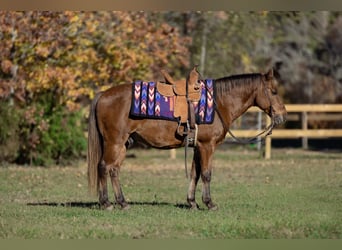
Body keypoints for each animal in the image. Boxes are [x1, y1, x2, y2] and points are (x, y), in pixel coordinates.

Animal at [87, 67, 288, 210]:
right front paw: (209, 203)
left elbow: (195, 173)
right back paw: (106, 203)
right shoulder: (207, 146)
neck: (218, 103)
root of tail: (103, 95)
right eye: (274, 91)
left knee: (114, 170)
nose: (283, 116)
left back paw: (122, 202)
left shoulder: (197, 146)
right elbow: (206, 174)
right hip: (114, 142)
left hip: (122, 145)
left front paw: (192, 202)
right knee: (103, 167)